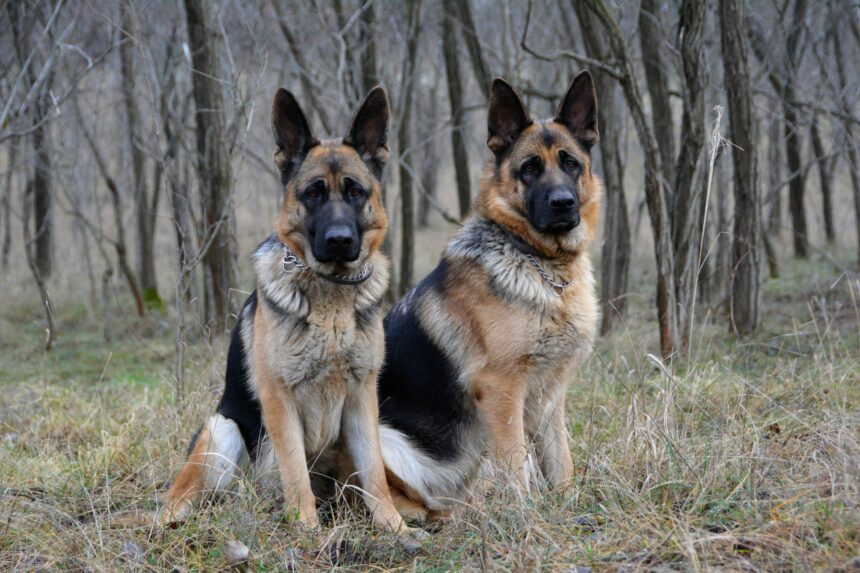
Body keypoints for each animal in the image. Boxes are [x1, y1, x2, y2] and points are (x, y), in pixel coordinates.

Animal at [160, 87, 410, 536]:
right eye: (312, 193)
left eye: (356, 192)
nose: (339, 240)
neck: (331, 295)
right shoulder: (280, 400)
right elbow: (295, 473)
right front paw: (309, 533)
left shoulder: (362, 397)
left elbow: (376, 474)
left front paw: (396, 529)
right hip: (223, 430)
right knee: (181, 497)